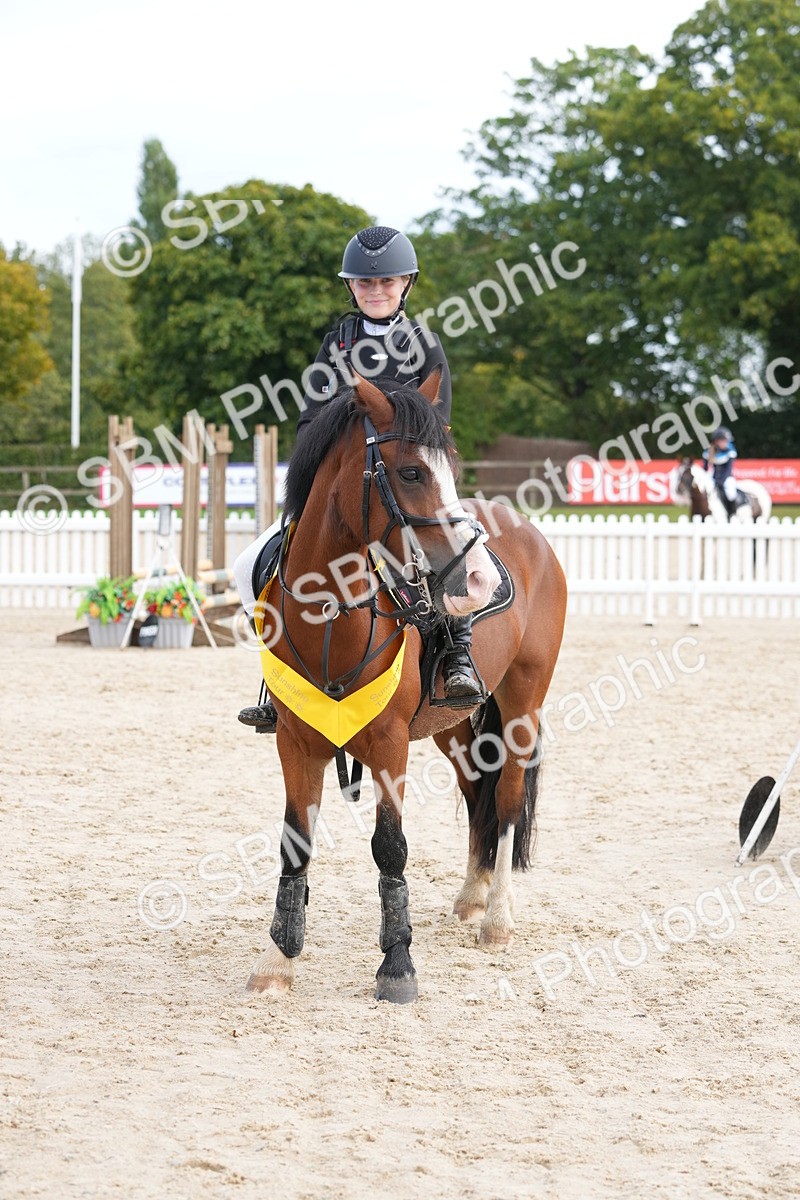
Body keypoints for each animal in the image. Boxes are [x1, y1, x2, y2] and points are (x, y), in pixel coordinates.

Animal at [245, 371, 567, 1003]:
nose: (476, 578)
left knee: (508, 799)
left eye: (451, 467)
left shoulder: (389, 744)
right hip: (455, 728)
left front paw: (397, 964)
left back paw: (497, 918)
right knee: (477, 792)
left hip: (522, 706)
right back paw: (471, 897)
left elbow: (389, 847)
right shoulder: (295, 743)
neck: (331, 618)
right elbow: (295, 843)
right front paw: (278, 960)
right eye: (412, 472)